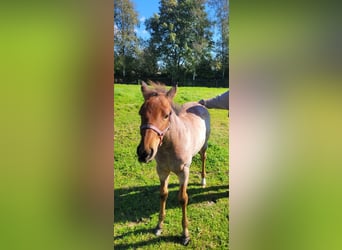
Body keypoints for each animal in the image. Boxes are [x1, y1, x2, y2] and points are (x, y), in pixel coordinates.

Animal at [137, 81, 211, 245]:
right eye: (141, 113)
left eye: (166, 115)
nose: (144, 153)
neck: (169, 145)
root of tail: (199, 104)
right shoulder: (162, 171)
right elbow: (163, 194)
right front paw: (159, 226)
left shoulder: (183, 172)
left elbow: (183, 199)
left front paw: (185, 235)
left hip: (204, 145)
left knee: (203, 157)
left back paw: (203, 180)